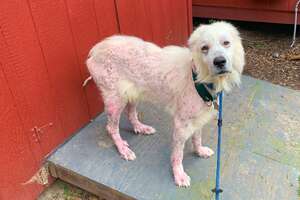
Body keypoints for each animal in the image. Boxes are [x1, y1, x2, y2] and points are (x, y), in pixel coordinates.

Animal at [85, 21, 245, 187]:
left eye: (226, 43)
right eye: (204, 48)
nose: (219, 62)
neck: (198, 77)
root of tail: (95, 50)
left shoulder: (197, 119)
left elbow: (197, 138)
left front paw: (199, 151)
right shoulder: (181, 125)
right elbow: (178, 154)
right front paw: (178, 174)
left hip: (133, 94)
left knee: (131, 114)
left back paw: (140, 128)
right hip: (115, 101)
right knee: (111, 128)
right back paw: (123, 149)